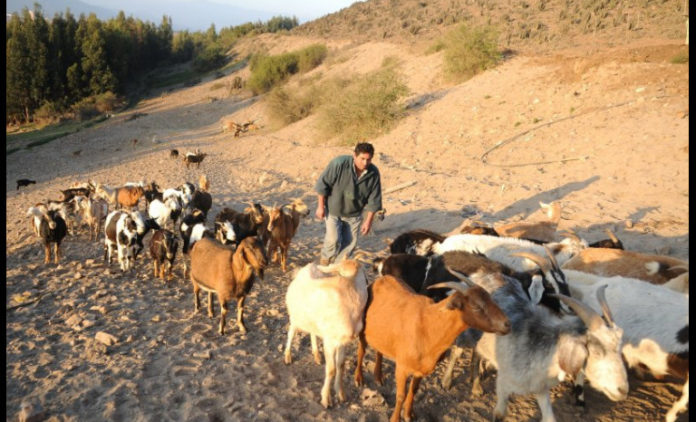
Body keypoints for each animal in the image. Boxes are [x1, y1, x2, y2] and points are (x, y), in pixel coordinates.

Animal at [354, 276, 512, 422]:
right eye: (476, 306)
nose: (507, 324)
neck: (428, 324)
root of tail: (380, 279)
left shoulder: (421, 369)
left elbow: (413, 390)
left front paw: (409, 415)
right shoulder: (402, 368)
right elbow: (400, 395)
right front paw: (395, 419)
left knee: (379, 351)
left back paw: (378, 377)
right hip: (362, 329)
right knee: (361, 351)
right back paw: (359, 379)